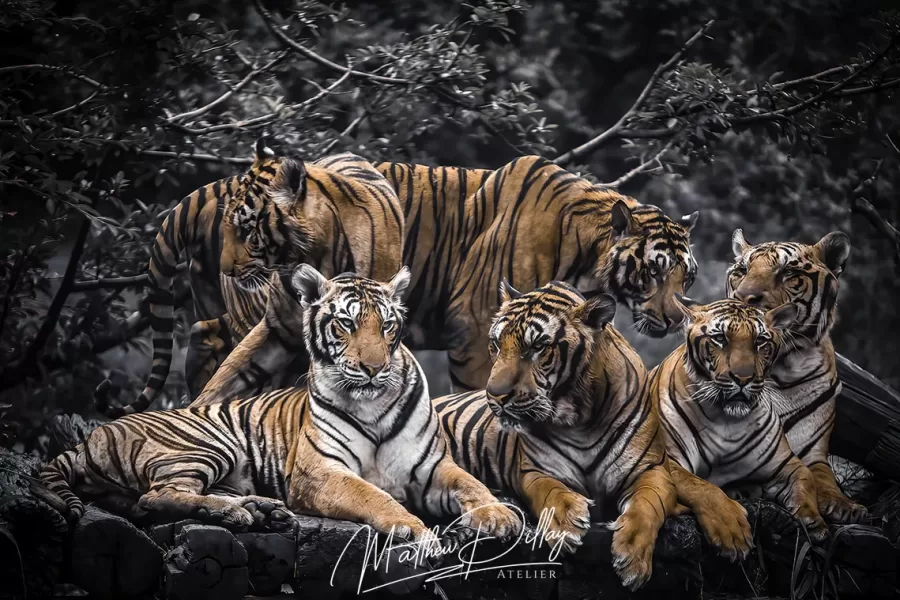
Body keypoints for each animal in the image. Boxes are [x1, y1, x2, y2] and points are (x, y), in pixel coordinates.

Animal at [42, 266, 520, 543]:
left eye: (386, 326)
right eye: (346, 323)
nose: (372, 368)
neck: (373, 405)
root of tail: (90, 436)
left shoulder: (432, 465)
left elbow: (472, 484)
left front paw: (499, 516)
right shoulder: (321, 472)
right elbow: (371, 494)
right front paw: (412, 528)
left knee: (148, 500)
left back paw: (262, 510)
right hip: (204, 446)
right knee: (157, 496)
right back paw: (239, 514)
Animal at [432, 281, 746, 590]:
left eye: (538, 347)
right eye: (496, 344)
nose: (495, 396)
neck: (579, 419)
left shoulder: (650, 470)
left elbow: (648, 506)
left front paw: (632, 558)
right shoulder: (534, 472)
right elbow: (551, 491)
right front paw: (566, 522)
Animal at [653, 297, 828, 541]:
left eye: (760, 341)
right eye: (720, 338)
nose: (743, 378)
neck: (726, 419)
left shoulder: (785, 463)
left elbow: (806, 480)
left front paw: (814, 522)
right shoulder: (668, 459)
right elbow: (701, 486)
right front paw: (731, 530)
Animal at [726, 230, 866, 524]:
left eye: (788, 273)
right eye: (741, 271)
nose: (742, 298)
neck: (780, 369)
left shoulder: (814, 453)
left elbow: (825, 480)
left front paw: (846, 506)